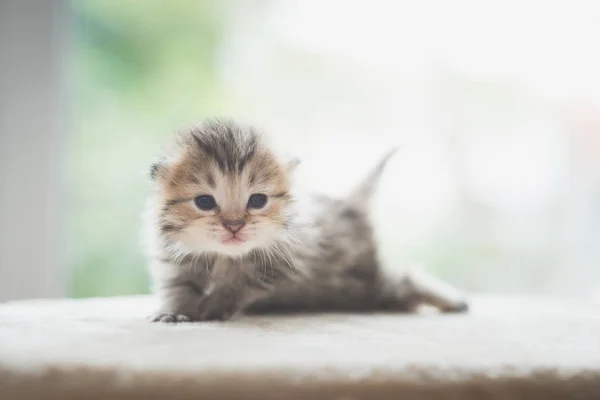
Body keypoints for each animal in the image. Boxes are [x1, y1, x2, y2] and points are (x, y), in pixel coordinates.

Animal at [143, 119, 466, 322]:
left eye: (257, 201)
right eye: (205, 202)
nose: (234, 225)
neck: (226, 256)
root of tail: (347, 205)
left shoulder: (289, 256)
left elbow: (244, 281)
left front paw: (218, 303)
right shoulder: (175, 259)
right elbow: (178, 286)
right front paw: (175, 310)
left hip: (367, 282)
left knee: (404, 280)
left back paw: (452, 301)